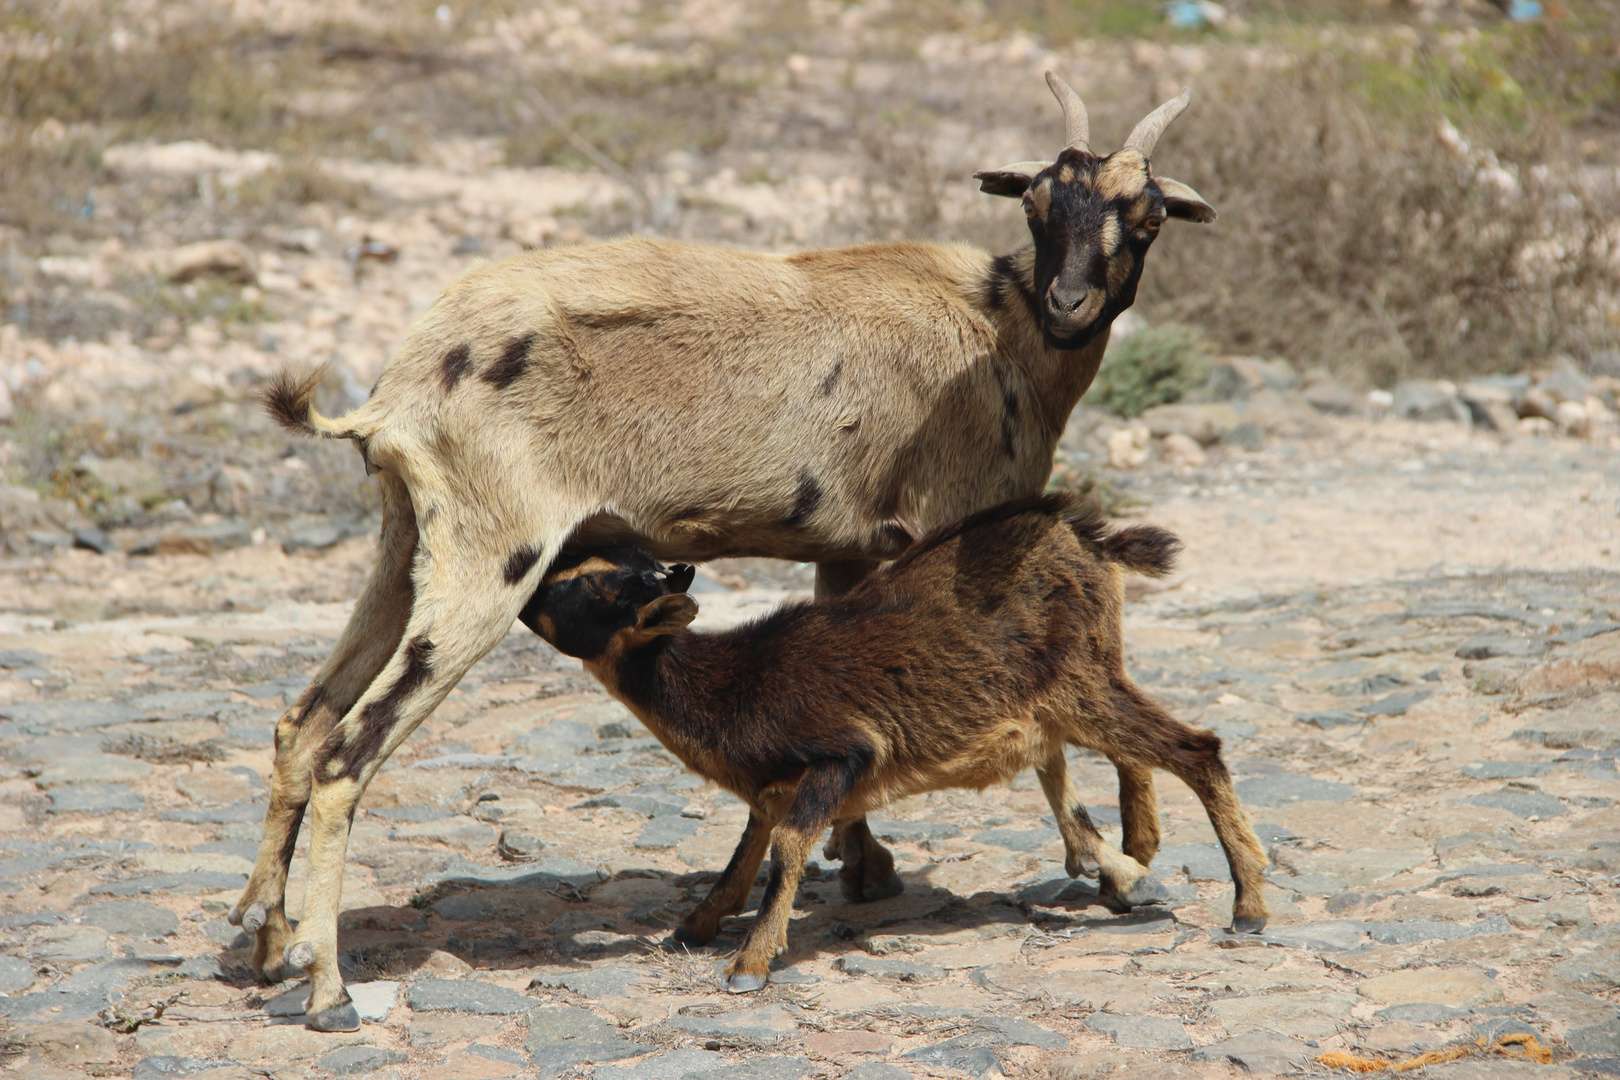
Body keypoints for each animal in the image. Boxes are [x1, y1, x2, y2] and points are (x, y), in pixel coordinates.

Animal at [231, 71, 1218, 1029]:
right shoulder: (962, 527)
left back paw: (266, 942)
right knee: (346, 756)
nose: (1069, 305)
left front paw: (867, 865)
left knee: (303, 725)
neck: (996, 327)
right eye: (1038, 204)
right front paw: (1116, 864)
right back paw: (328, 992)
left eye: (1147, 215)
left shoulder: (854, 549)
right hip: (491, 561)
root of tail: (399, 386)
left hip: (405, 549)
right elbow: (1042, 729)